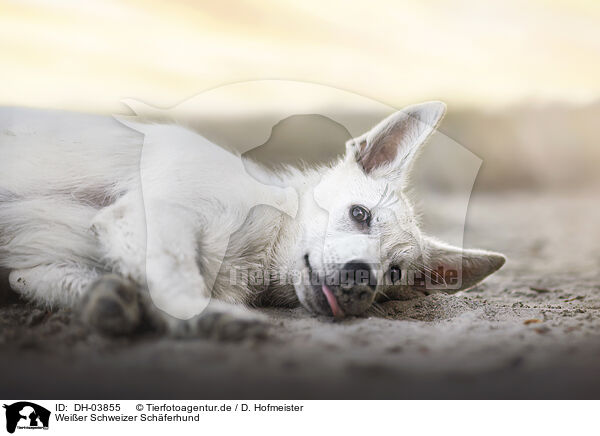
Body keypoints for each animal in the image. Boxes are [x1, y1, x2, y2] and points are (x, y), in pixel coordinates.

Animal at [0, 103, 506, 340]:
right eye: (359, 215)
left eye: (396, 274)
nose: (363, 281)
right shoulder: (155, 214)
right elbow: (178, 275)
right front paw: (211, 318)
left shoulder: (34, 268)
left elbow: (71, 281)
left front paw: (111, 300)